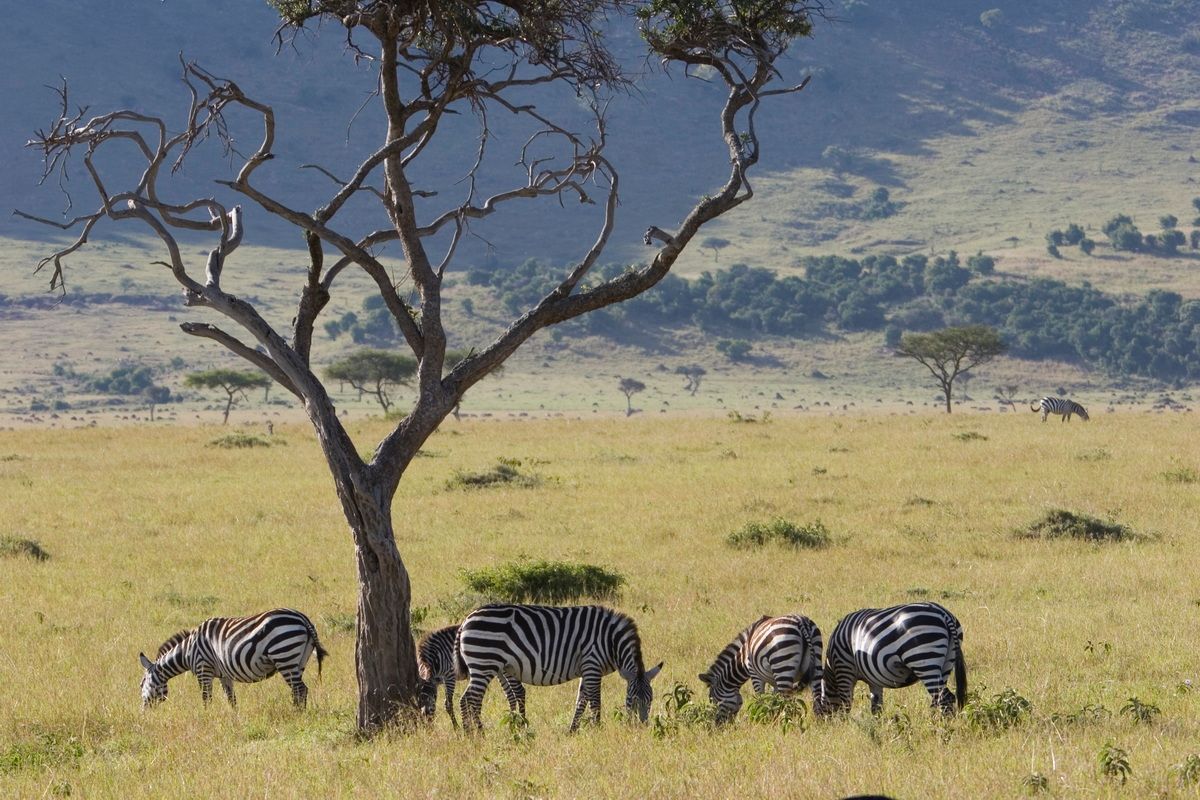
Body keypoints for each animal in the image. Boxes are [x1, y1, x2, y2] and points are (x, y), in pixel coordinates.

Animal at [138, 608, 327, 710]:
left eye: (141, 684)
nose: (142, 713)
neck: (187, 651)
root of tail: (302, 618)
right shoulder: (224, 675)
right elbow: (231, 700)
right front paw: (235, 719)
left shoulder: (203, 669)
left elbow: (206, 699)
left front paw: (207, 718)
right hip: (298, 660)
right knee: (299, 690)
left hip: (284, 654)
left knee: (299, 690)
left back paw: (297, 715)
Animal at [456, 604, 663, 732]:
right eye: (632, 700)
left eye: (651, 700)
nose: (641, 727)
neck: (610, 642)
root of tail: (467, 619)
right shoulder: (592, 665)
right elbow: (595, 702)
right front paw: (597, 729)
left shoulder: (586, 669)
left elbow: (581, 700)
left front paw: (573, 730)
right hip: (484, 662)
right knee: (472, 698)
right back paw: (480, 733)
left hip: (484, 665)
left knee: (466, 698)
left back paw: (469, 733)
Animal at [820, 602, 965, 716]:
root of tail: (943, 614)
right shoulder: (874, 679)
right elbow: (876, 707)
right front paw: (879, 726)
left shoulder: (844, 669)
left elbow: (846, 704)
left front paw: (847, 725)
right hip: (947, 661)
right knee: (938, 698)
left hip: (923, 659)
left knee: (945, 698)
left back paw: (941, 728)